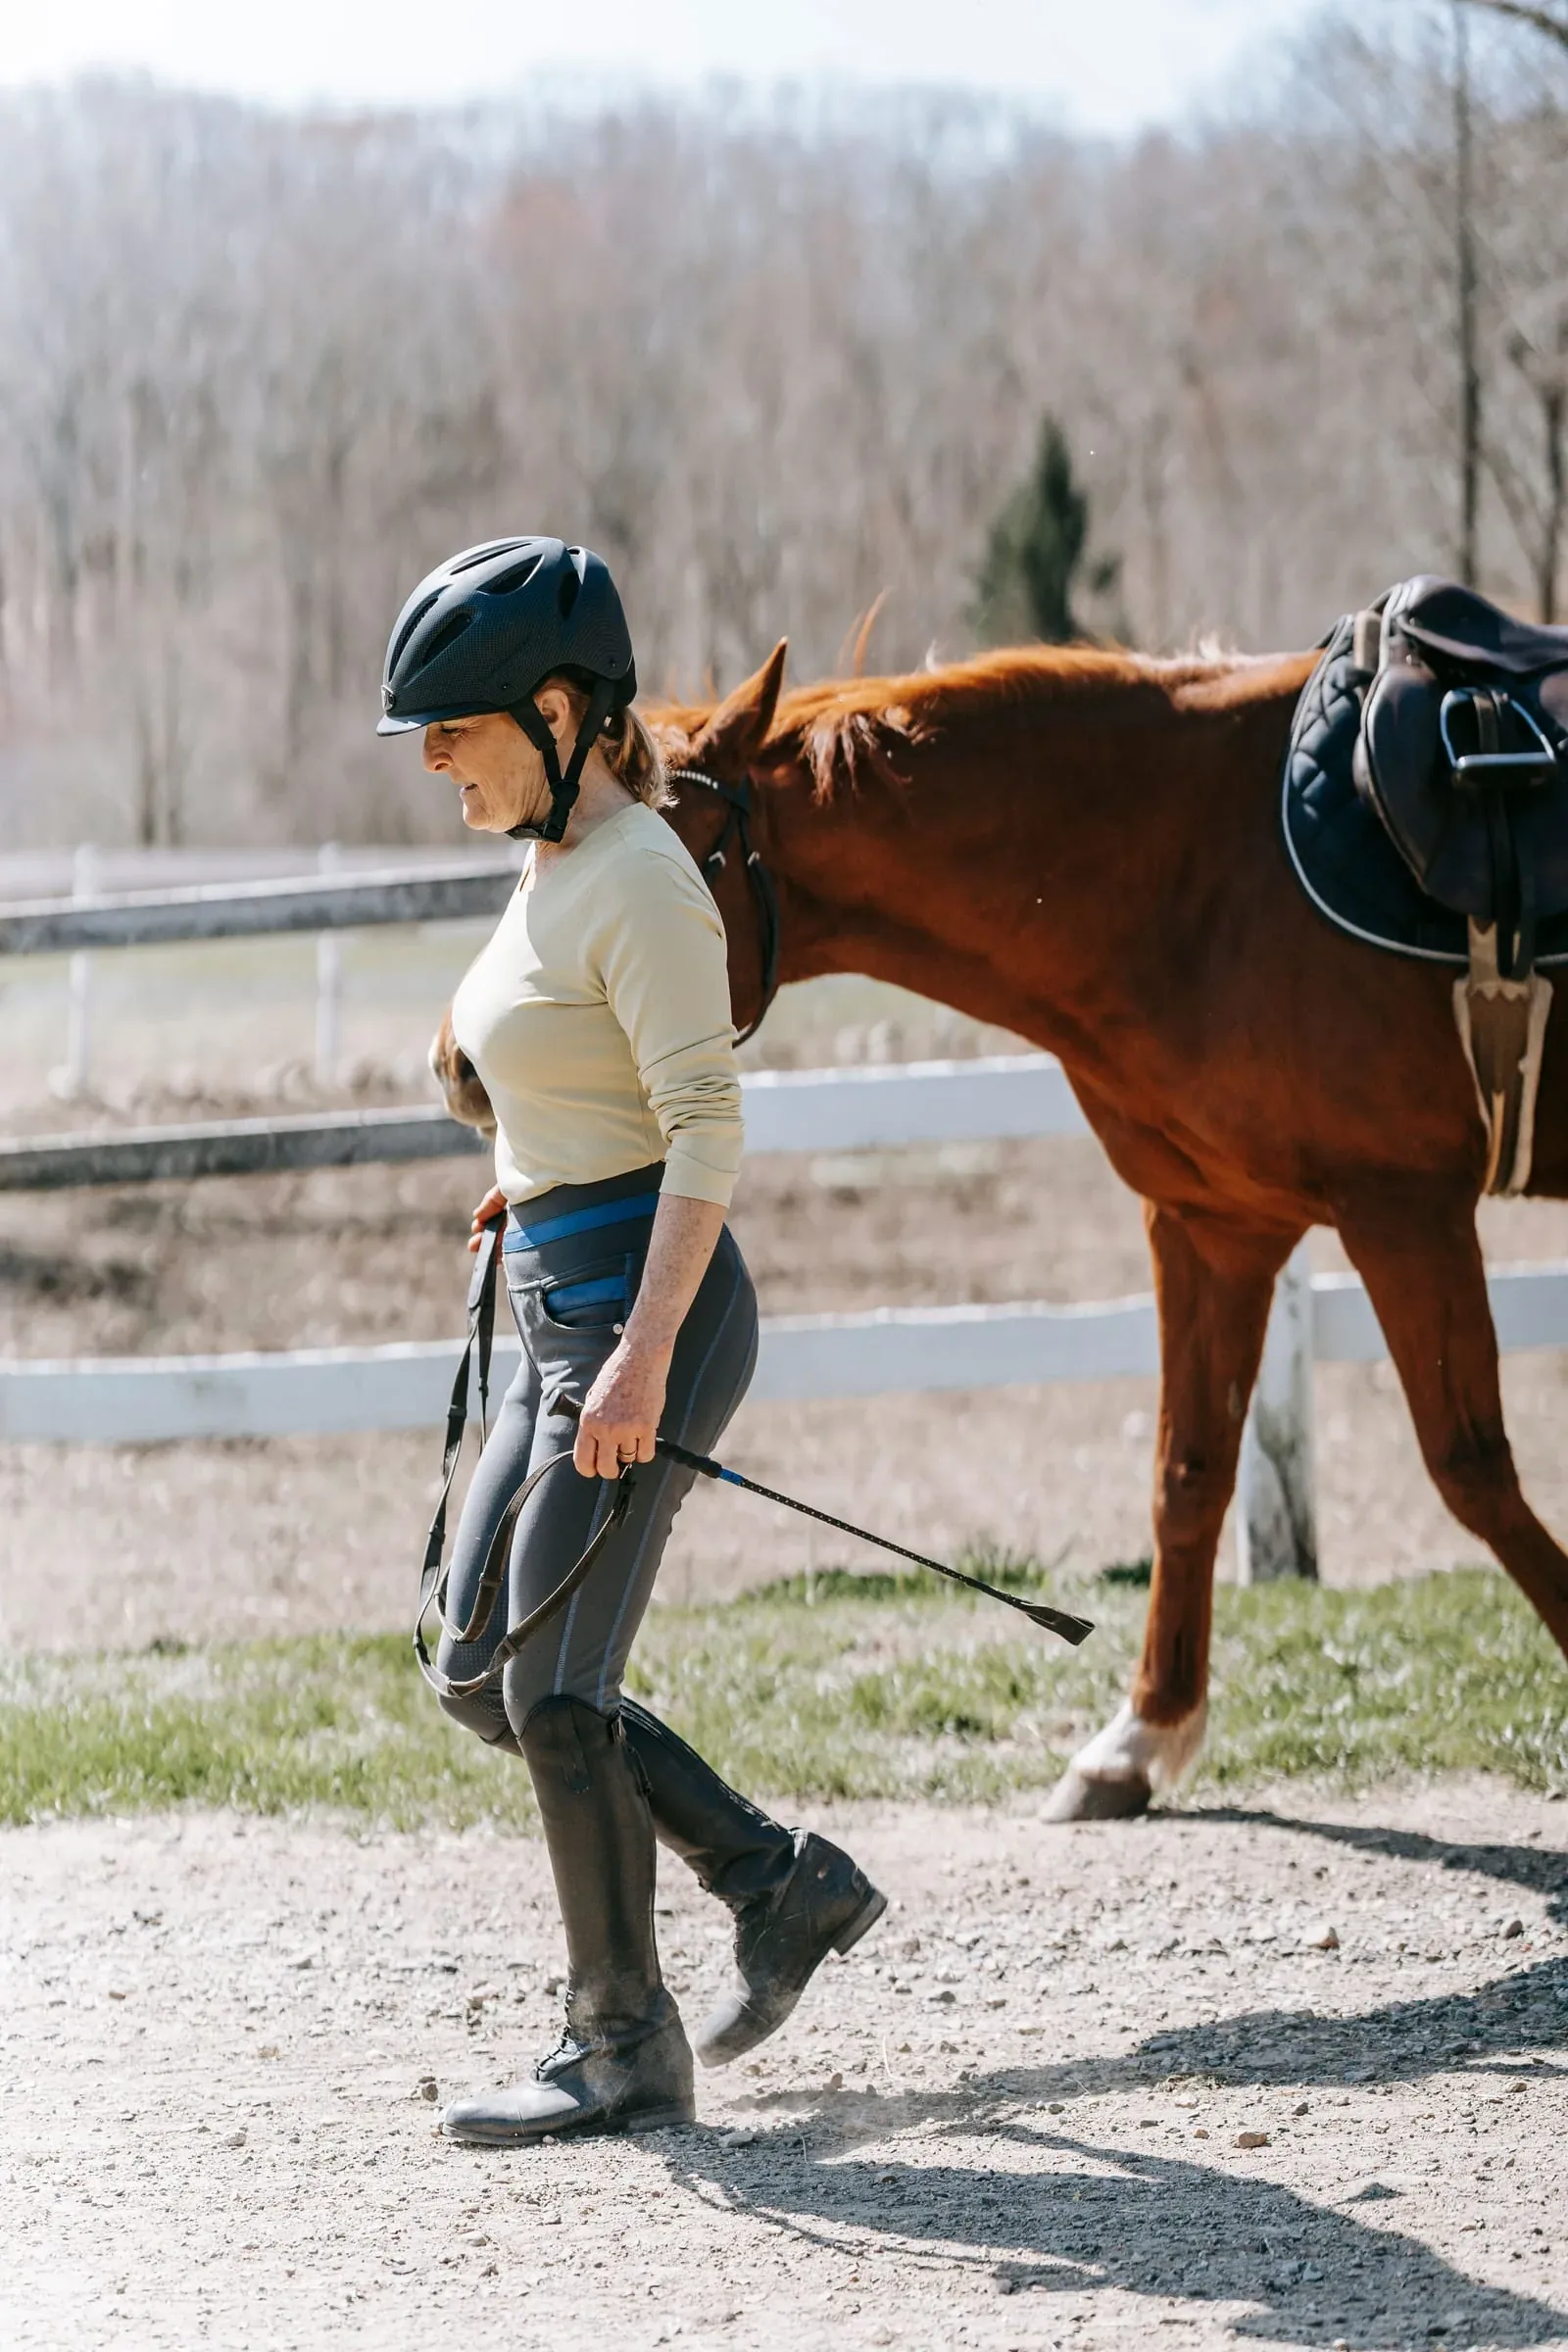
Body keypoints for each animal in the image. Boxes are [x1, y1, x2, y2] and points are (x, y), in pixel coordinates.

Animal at [432, 637, 1568, 1821]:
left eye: (678, 852)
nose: (457, 1065)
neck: (1204, 870)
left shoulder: (1403, 1208)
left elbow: (1472, 1468)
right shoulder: (1215, 1221)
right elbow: (1188, 1473)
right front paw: (1136, 1742)